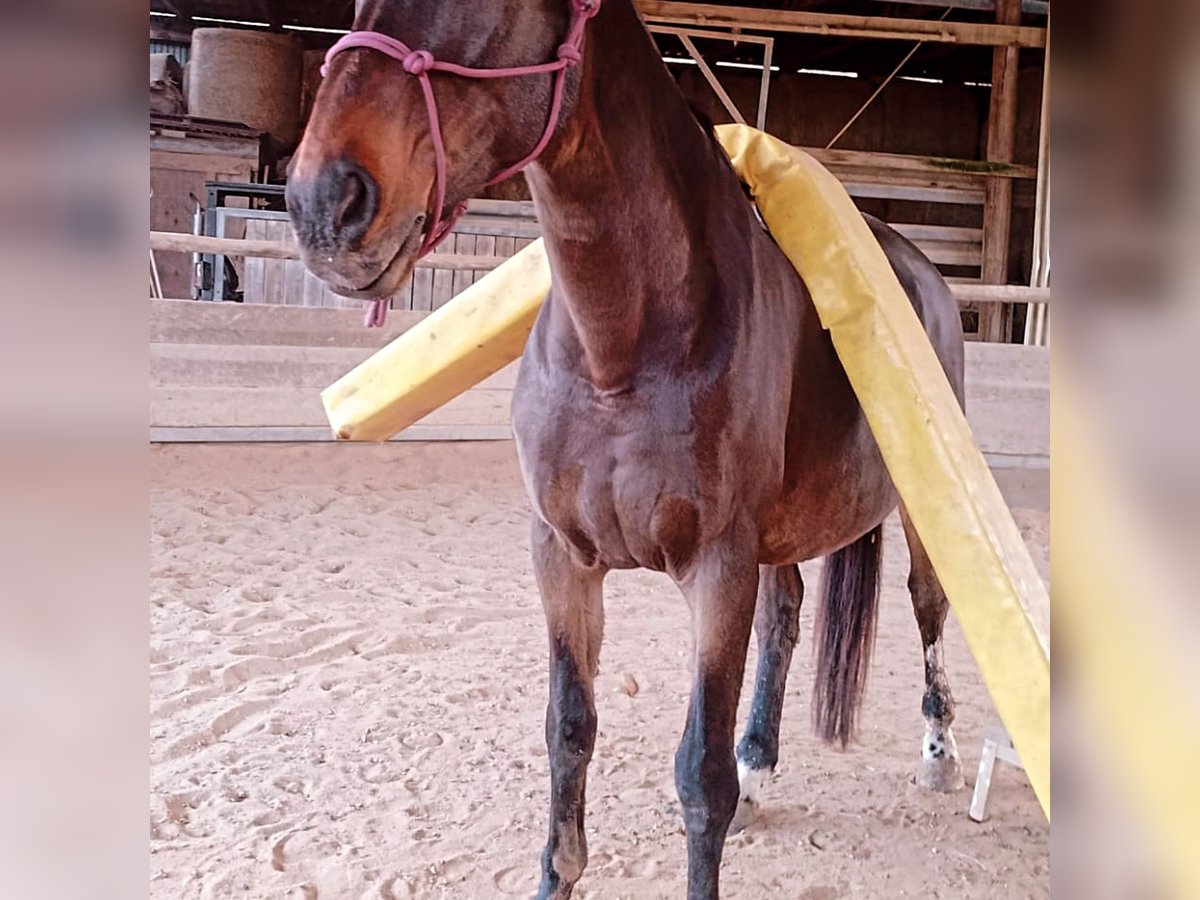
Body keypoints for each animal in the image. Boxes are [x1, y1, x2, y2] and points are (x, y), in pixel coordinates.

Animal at [288, 3, 964, 897]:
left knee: (928, 606)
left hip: (917, 519)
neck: (624, 349)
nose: (323, 202)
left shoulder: (717, 568)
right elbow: (568, 730)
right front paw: (558, 876)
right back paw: (761, 768)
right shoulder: (563, 558)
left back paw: (939, 755)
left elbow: (699, 776)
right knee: (785, 619)